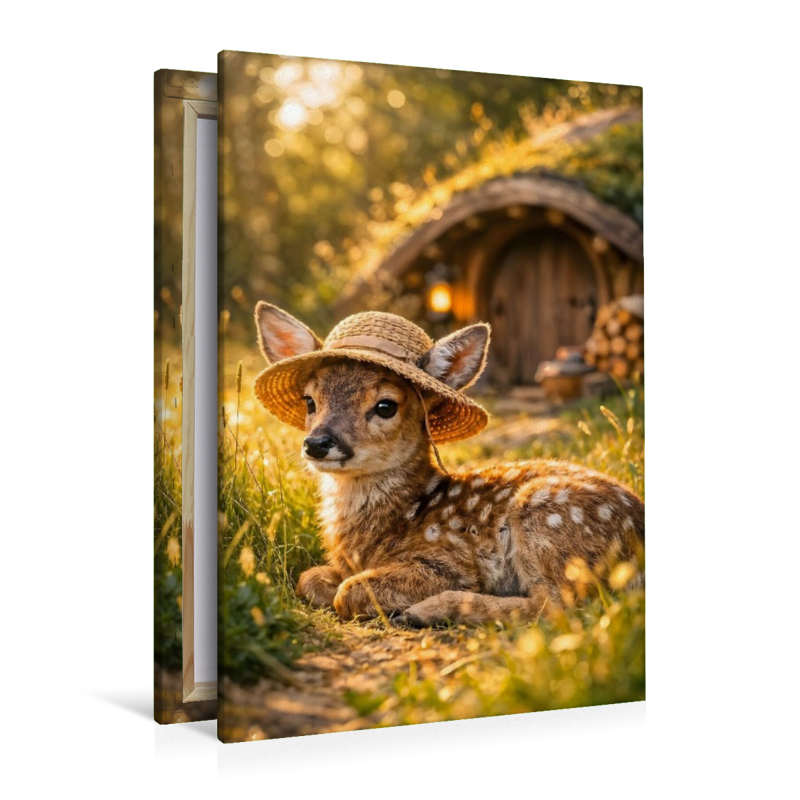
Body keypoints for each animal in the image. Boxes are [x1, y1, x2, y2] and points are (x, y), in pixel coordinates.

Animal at [253, 302, 644, 627]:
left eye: (385, 406)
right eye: (309, 400)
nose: (318, 443)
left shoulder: (451, 562)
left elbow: (348, 592)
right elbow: (309, 578)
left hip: (545, 519)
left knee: (557, 608)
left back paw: (425, 612)